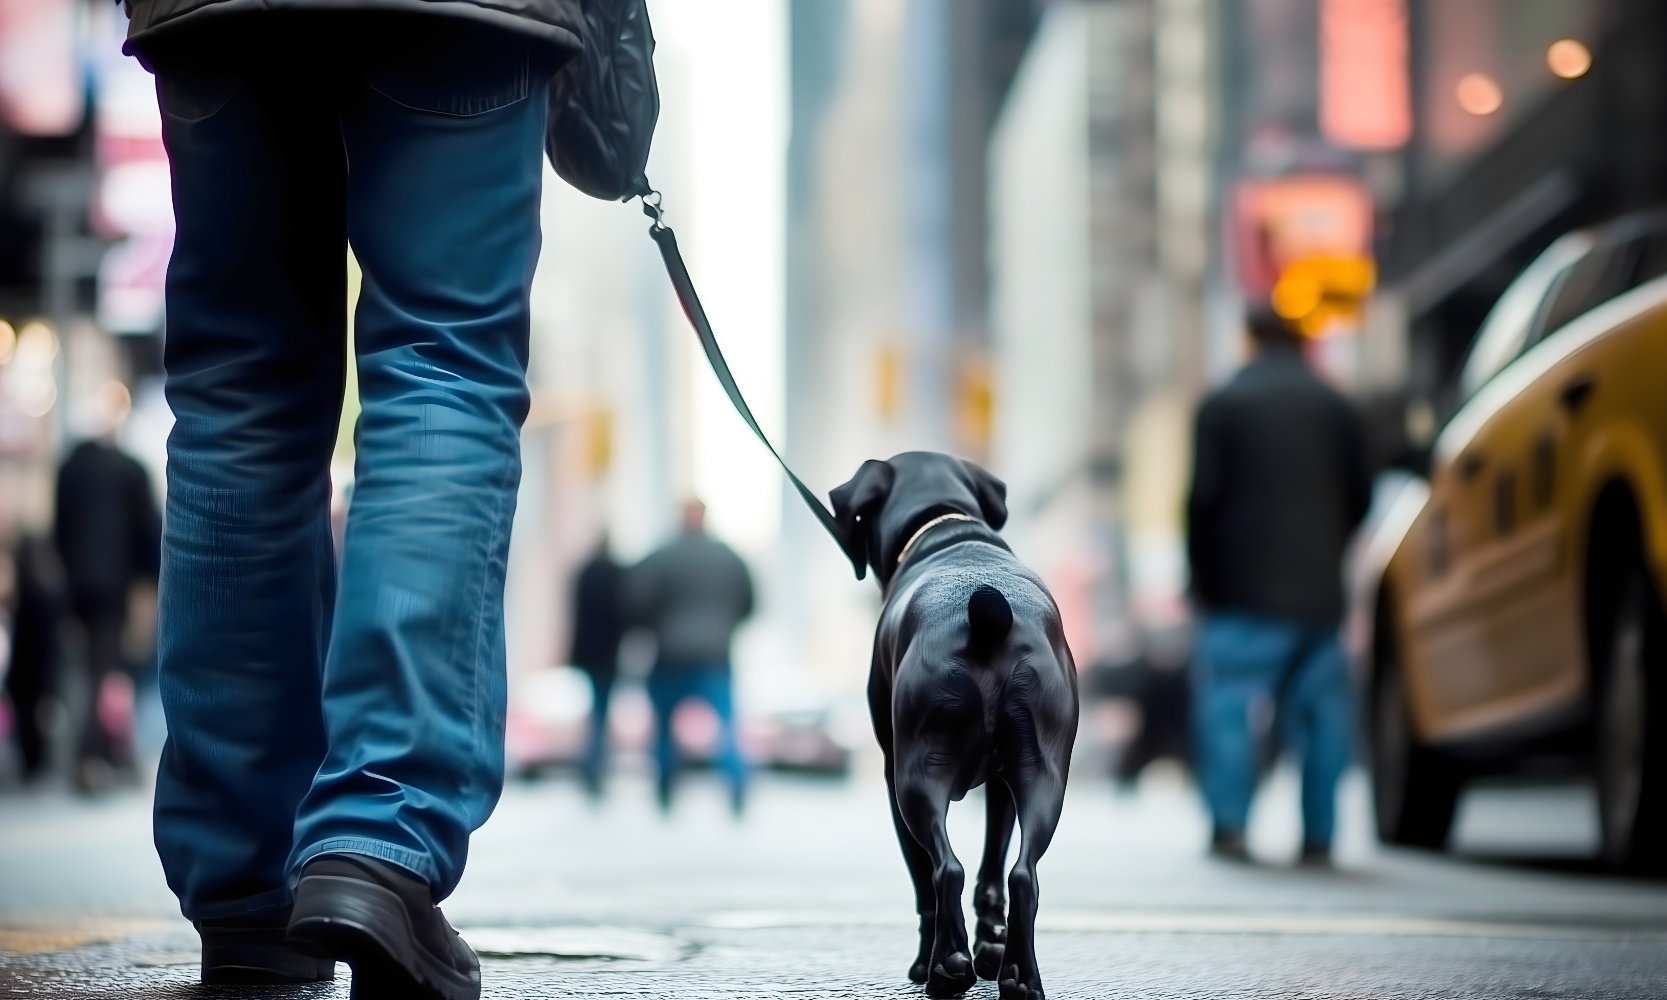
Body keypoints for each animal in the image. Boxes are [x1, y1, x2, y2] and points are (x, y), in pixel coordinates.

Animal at [833, 453, 1080, 1000]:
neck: (945, 527)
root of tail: (987, 617)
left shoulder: (892, 775)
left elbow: (925, 881)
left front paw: (939, 958)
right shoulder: (1003, 785)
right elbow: (992, 868)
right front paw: (990, 947)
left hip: (917, 777)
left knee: (944, 871)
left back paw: (945, 967)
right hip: (1043, 776)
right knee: (1022, 876)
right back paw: (1019, 975)